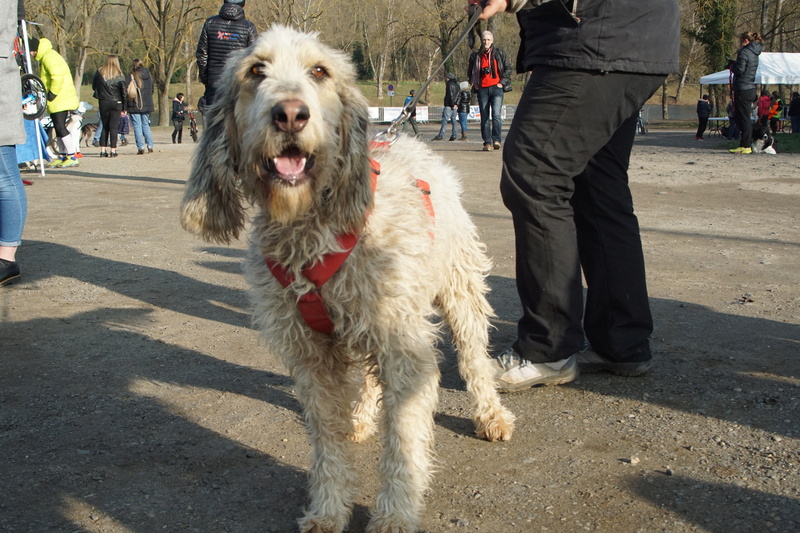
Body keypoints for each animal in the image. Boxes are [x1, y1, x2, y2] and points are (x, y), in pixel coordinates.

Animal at [182, 25, 516, 532]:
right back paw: (360, 416)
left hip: (459, 291)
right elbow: (327, 444)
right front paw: (327, 509)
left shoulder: (405, 350)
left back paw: (490, 414)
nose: (290, 115)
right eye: (256, 70)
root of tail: (406, 141)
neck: (311, 229)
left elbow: (404, 442)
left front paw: (395, 514)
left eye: (319, 71)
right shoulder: (312, 357)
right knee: (372, 380)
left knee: (475, 359)